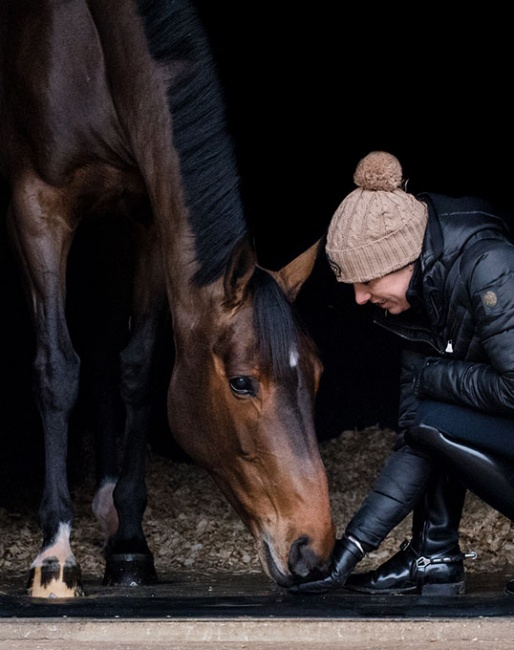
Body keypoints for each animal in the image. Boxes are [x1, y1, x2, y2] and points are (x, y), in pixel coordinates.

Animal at [0, 0, 334, 596]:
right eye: (242, 383)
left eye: (317, 377)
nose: (312, 550)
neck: (94, 47)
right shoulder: (37, 204)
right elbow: (57, 368)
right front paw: (55, 554)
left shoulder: (148, 218)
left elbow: (138, 369)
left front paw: (131, 545)